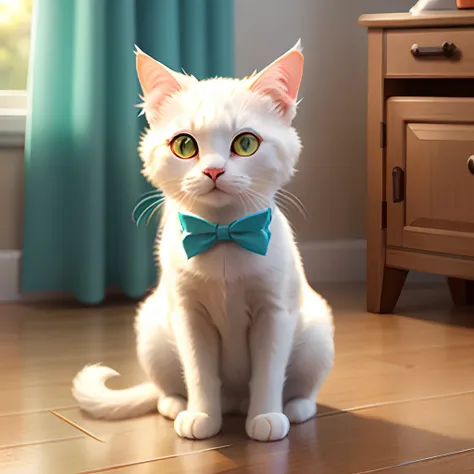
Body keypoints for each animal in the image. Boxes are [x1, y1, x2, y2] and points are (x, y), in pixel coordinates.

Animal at [72, 40, 336, 444]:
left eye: (246, 143)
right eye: (184, 145)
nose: (213, 170)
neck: (223, 234)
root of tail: (235, 402)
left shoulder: (274, 312)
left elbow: (268, 373)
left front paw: (266, 417)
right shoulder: (188, 314)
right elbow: (199, 373)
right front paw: (201, 417)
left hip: (317, 331)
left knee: (302, 389)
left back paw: (293, 409)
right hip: (151, 329)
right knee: (167, 388)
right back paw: (177, 406)